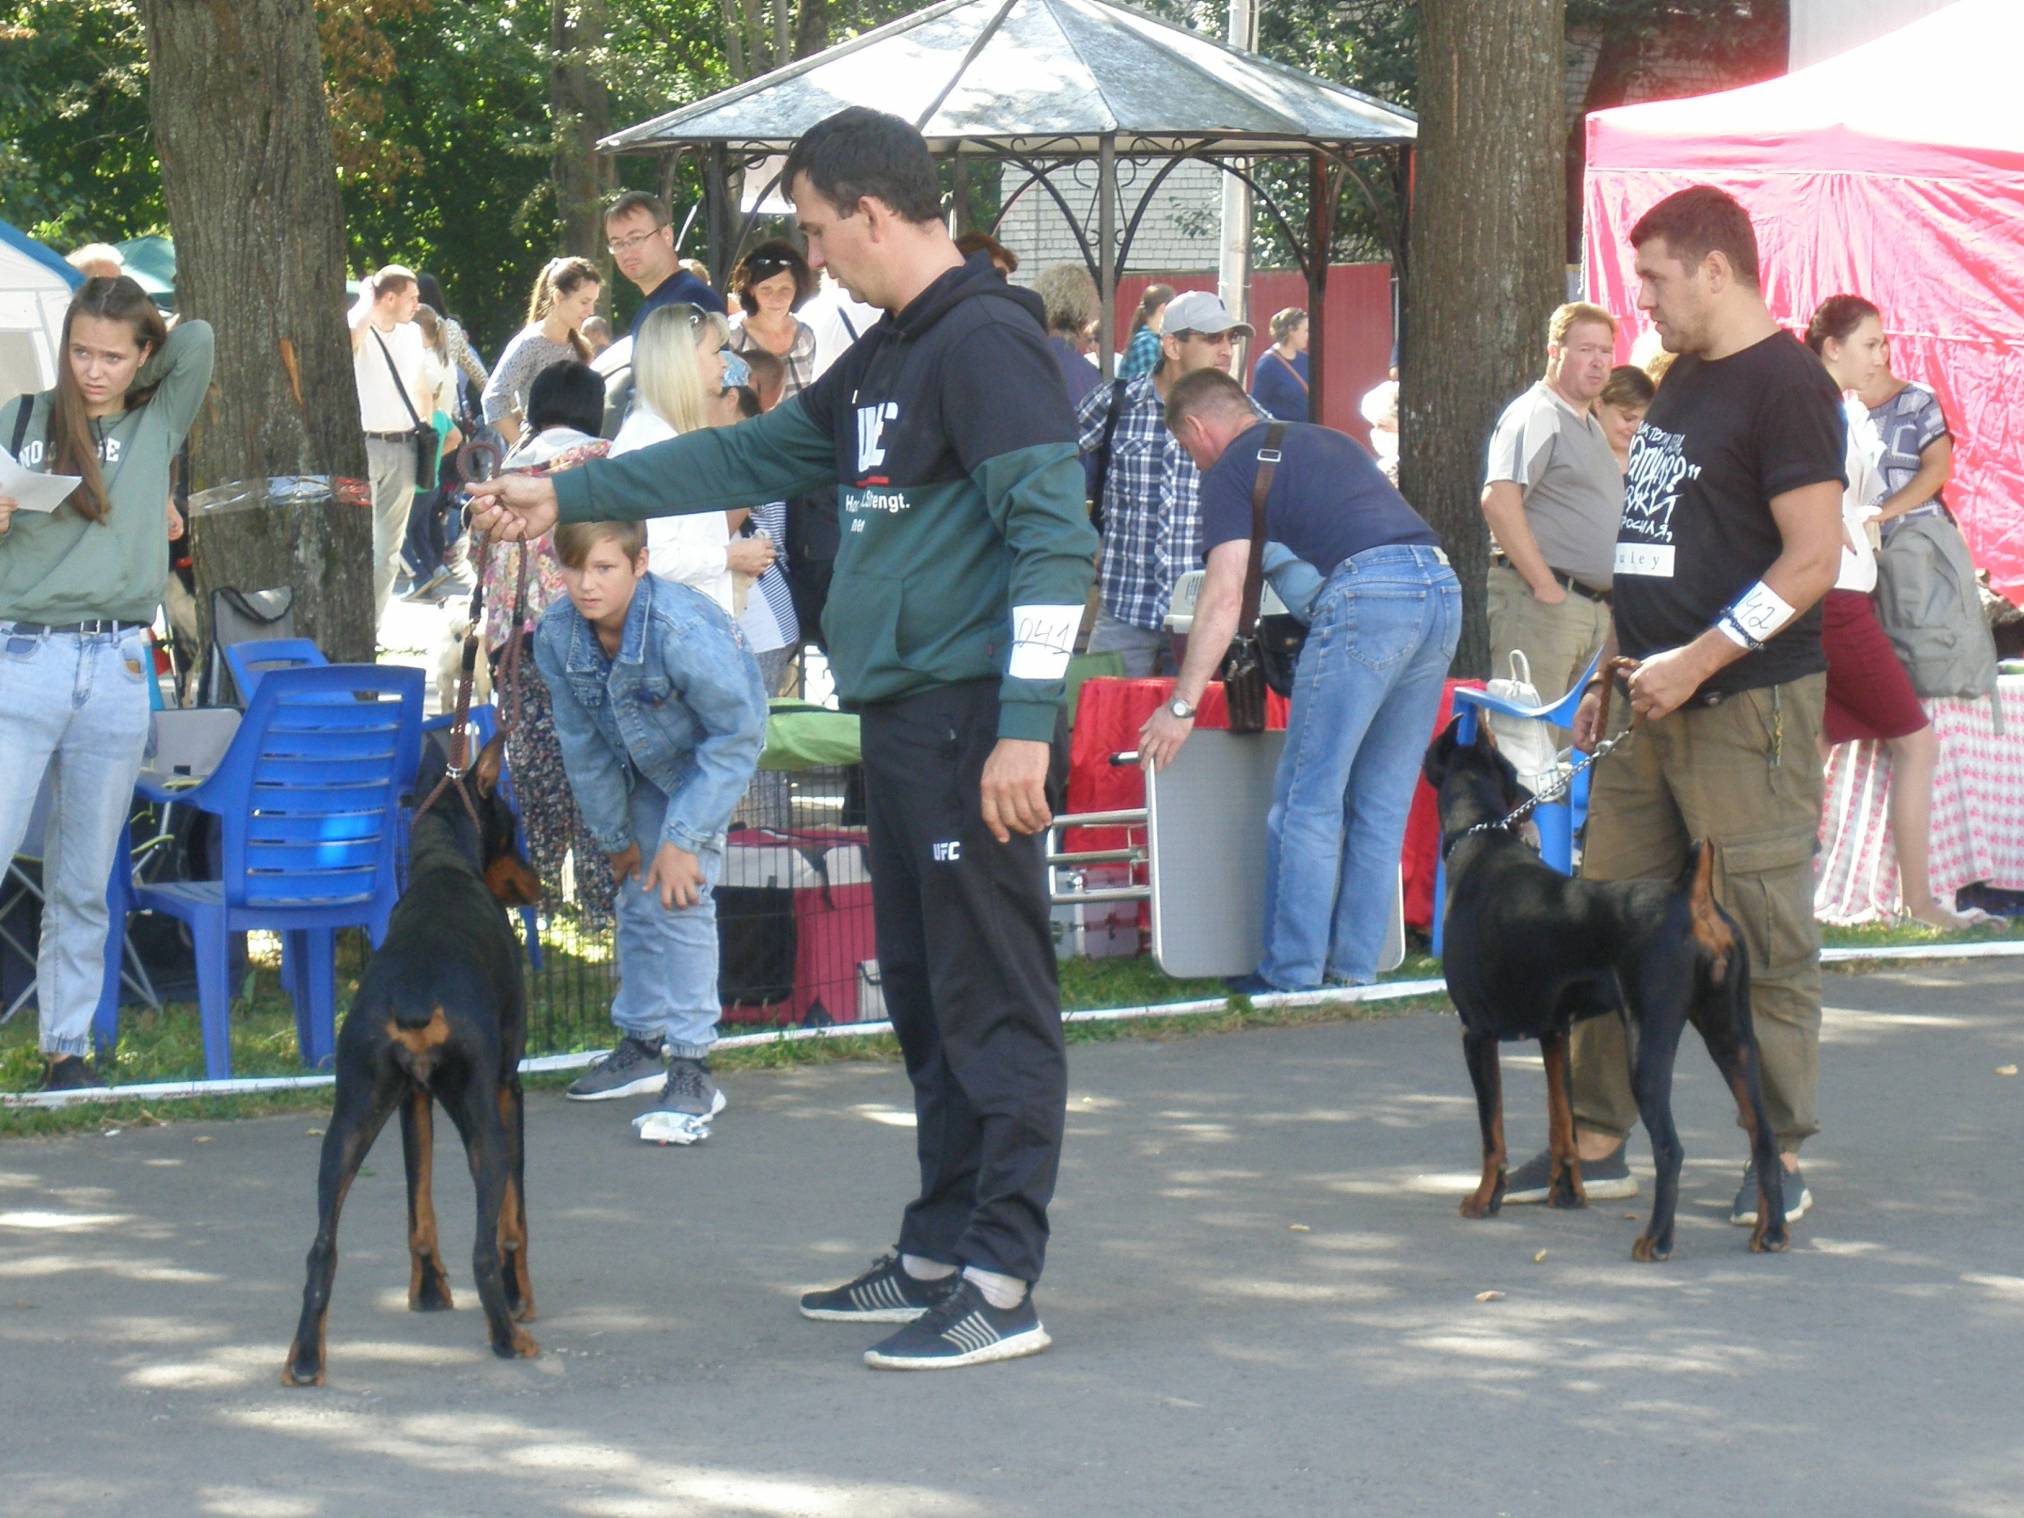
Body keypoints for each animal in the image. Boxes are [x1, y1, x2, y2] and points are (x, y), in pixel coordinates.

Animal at [281, 736, 546, 1392]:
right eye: (512, 824)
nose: (537, 887)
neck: (443, 866)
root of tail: (413, 996)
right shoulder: (508, 1091)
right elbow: (515, 1223)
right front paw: (520, 1297)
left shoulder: (411, 1101)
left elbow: (418, 1207)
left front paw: (427, 1292)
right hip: (482, 1121)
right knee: (484, 1244)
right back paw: (508, 1337)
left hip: (349, 1118)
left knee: (321, 1249)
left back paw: (304, 1358)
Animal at [1424, 720, 1789, 1262]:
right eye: (1510, 771)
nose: (1532, 799)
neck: (1479, 840)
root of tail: (1691, 896)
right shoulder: (1555, 1032)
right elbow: (1563, 1125)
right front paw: (1567, 1194)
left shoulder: (1477, 1033)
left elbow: (1493, 1134)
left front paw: (1484, 1199)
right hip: (1732, 1033)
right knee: (1762, 1134)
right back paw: (1771, 1231)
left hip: (1649, 1040)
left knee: (1670, 1147)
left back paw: (1657, 1240)